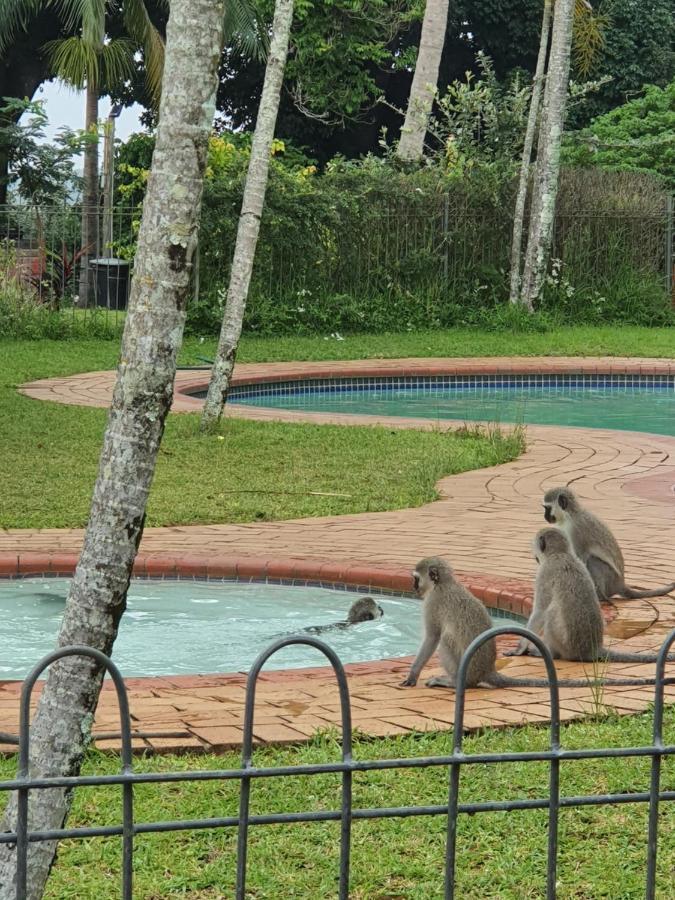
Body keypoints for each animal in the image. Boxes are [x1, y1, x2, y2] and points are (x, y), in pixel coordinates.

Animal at [404, 556, 664, 688]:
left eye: (417, 578)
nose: (414, 587)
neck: (445, 585)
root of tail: (487, 671)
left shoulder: (432, 604)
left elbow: (432, 637)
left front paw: (413, 675)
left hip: (465, 669)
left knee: (444, 640)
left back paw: (454, 683)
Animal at [504, 528, 675, 668]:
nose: (535, 557)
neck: (561, 554)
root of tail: (593, 649)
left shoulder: (544, 573)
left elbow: (540, 611)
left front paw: (519, 649)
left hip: (566, 645)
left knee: (550, 612)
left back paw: (550, 653)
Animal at [544, 488, 675, 600]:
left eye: (547, 508)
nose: (545, 516)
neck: (570, 515)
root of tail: (620, 584)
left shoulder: (576, 531)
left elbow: (581, 559)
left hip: (610, 581)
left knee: (592, 560)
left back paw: (601, 597)